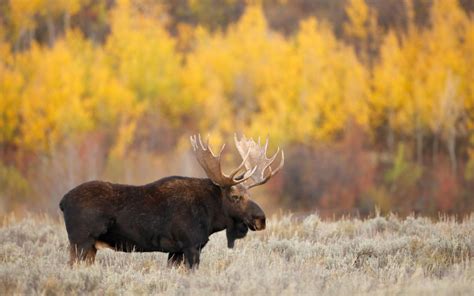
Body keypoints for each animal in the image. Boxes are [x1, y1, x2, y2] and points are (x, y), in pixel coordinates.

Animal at [58, 134, 282, 268]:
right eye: (235, 197)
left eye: (251, 195)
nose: (261, 219)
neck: (210, 218)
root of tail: (62, 201)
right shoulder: (190, 245)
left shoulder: (176, 251)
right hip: (80, 241)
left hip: (89, 247)